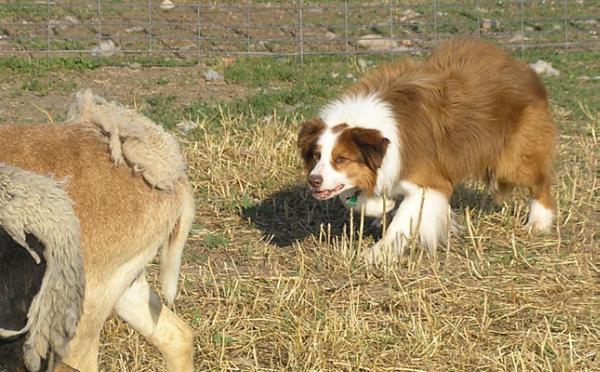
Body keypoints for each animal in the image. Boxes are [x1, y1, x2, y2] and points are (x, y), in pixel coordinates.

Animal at [298, 37, 556, 264]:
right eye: (317, 156)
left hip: (512, 159)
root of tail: (522, 68)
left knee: (539, 181)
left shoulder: (427, 184)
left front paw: (378, 254)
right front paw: (382, 206)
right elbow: (354, 199)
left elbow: (402, 222)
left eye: (341, 158)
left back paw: (539, 222)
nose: (313, 181)